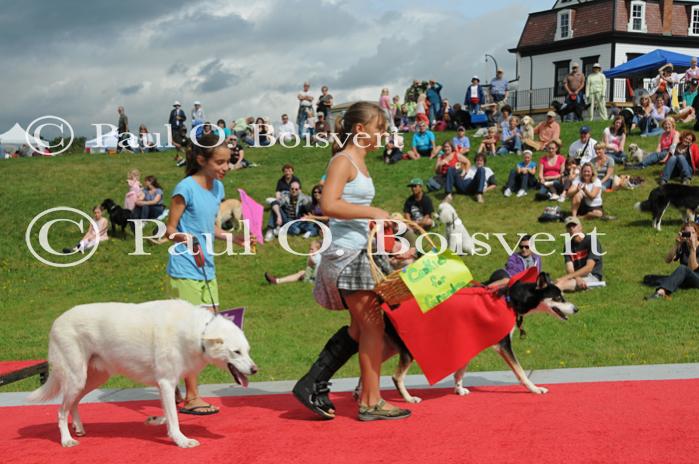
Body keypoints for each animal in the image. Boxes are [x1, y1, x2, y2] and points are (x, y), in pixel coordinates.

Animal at [28, 300, 258, 448]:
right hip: (77, 378)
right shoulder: (166, 383)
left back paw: (78, 428)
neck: (197, 332)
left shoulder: (165, 386)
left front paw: (163, 426)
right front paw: (181, 441)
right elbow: (174, 417)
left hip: (91, 379)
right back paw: (66, 440)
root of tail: (57, 321)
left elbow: (169, 415)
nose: (255, 370)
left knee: (73, 403)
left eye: (247, 351)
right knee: (60, 411)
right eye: (236, 352)